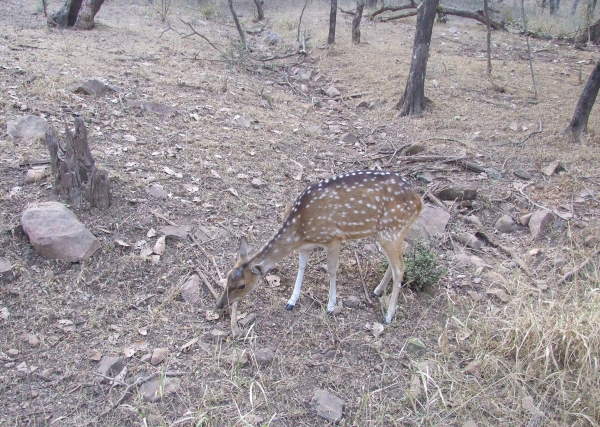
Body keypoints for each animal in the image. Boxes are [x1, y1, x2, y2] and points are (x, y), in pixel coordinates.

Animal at [216, 171, 422, 328]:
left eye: (242, 285)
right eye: (227, 276)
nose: (219, 304)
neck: (299, 229)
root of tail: (419, 201)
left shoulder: (333, 238)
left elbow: (331, 270)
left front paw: (331, 306)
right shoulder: (305, 246)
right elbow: (301, 267)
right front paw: (291, 301)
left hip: (392, 230)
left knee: (400, 268)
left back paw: (388, 316)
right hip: (386, 233)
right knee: (395, 263)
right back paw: (377, 291)